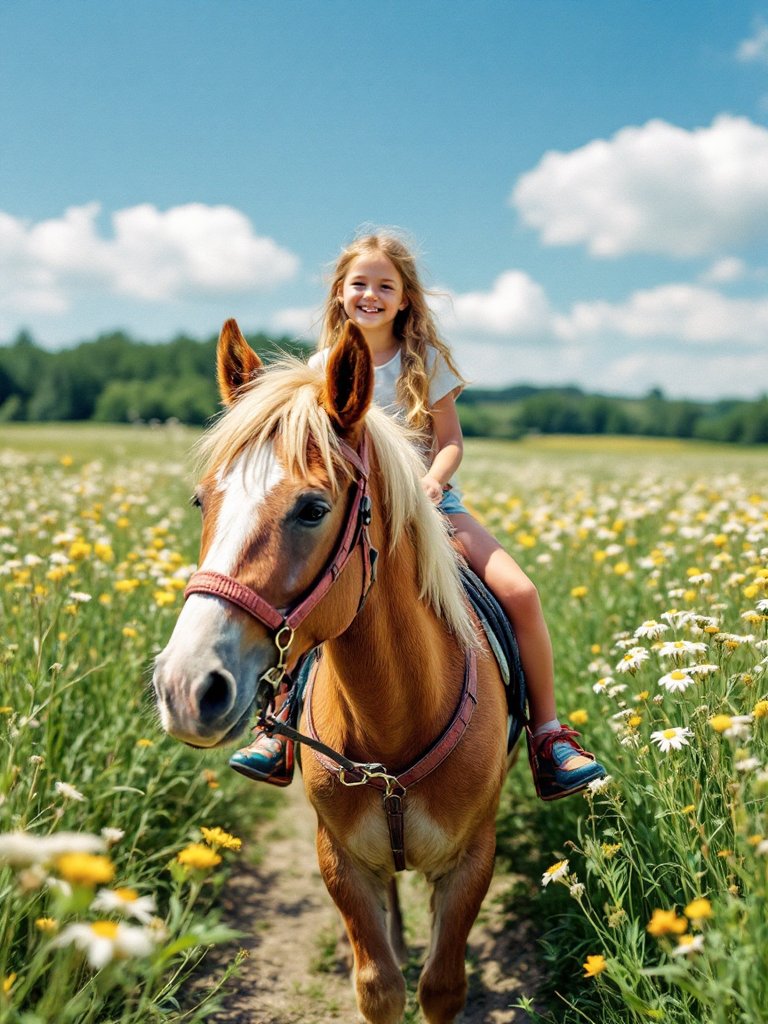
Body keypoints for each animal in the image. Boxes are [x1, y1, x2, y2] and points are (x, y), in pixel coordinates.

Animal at [152, 319, 513, 1024]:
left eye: (313, 510)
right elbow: (380, 985)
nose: (186, 688)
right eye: (201, 500)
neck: (394, 714)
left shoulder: (472, 862)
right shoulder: (340, 860)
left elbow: (441, 985)